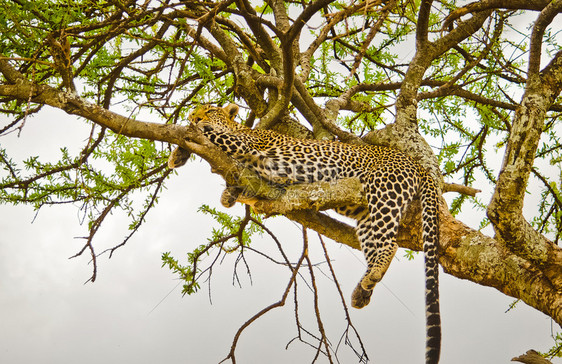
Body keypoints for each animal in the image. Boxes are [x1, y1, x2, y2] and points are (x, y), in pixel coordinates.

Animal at [168, 103, 440, 364]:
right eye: (195, 110)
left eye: (210, 110)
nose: (194, 116)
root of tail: (414, 162)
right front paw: (186, 159)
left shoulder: (245, 145)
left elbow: (208, 134)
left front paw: (184, 140)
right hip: (364, 214)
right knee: (375, 243)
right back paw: (362, 291)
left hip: (384, 190)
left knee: (390, 244)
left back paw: (372, 275)